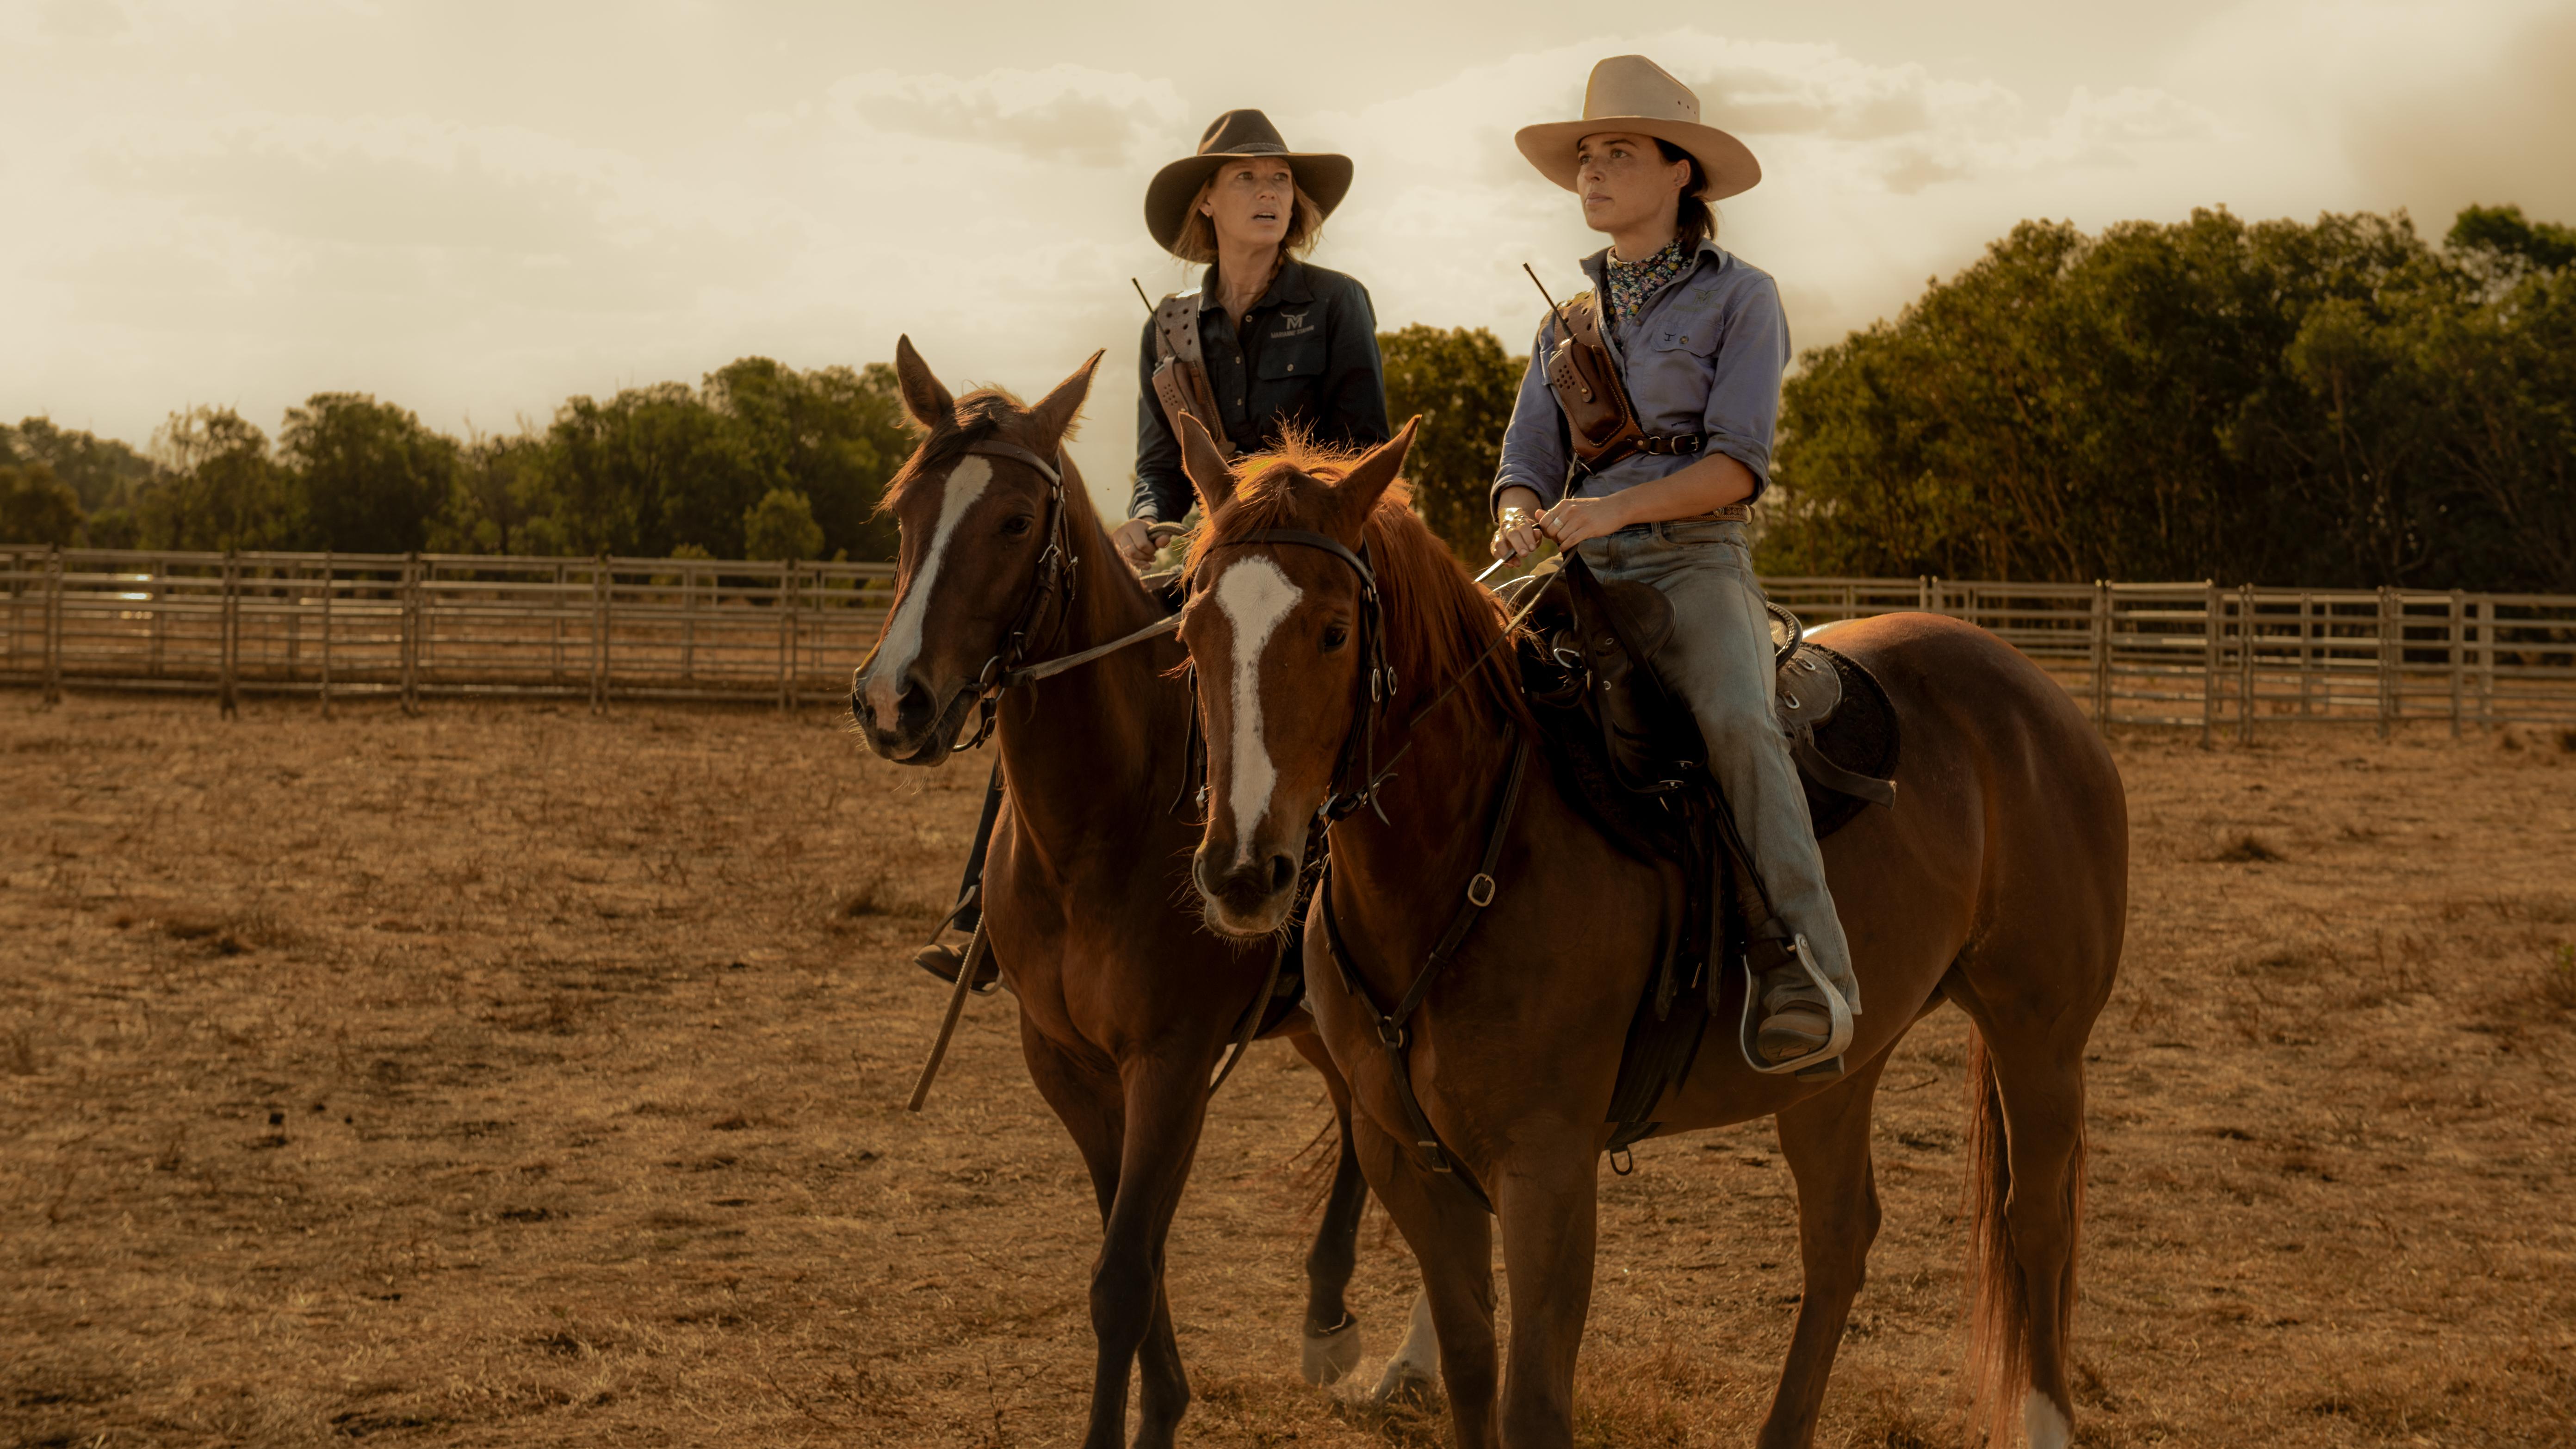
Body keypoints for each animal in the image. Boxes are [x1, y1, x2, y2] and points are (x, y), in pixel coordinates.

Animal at [855, 343, 1401, 1433]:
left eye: (1016, 522)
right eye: (905, 512)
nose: (894, 701)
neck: (1103, 824)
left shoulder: (1172, 1062)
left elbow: (1121, 1275)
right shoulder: (1066, 1061)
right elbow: (1128, 1244)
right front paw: (1165, 1403)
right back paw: (1327, 1315)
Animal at [1169, 417, 2133, 1443]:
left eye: (1333, 631)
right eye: (1191, 632)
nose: (1243, 872)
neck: (1464, 851)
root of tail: (2035, 693)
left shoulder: (1548, 1170)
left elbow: (1533, 1402)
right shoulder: (1409, 1160)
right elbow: (1470, 1371)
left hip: (2040, 1035)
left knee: (2038, 1225)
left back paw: (2044, 1419)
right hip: (1838, 1069)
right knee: (1840, 1236)